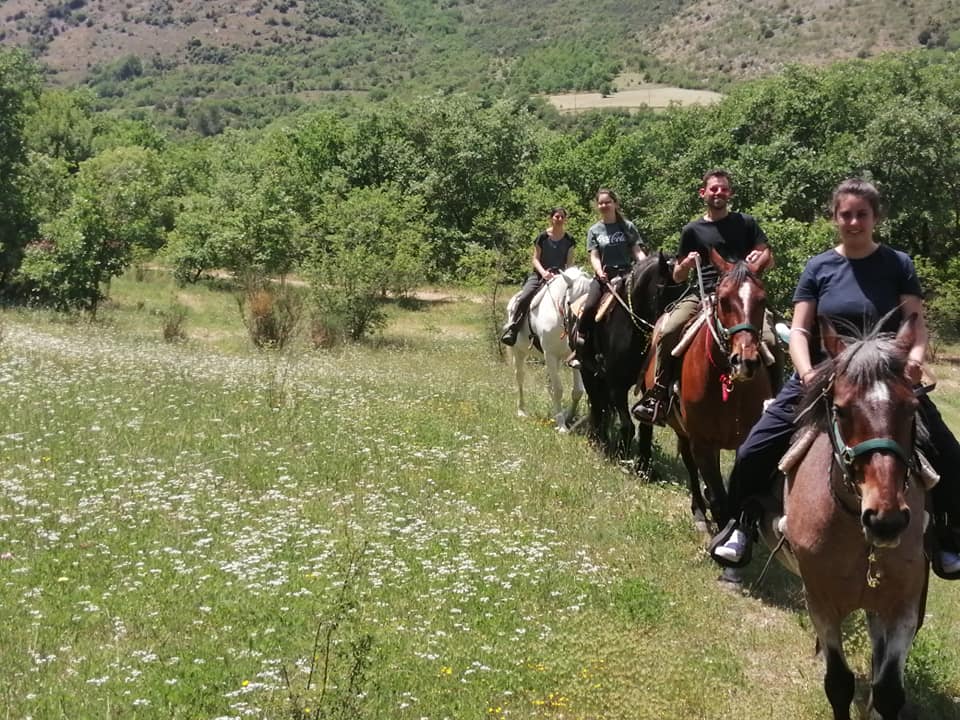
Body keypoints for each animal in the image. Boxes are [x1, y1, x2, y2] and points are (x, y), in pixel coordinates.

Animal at [507, 267, 592, 432]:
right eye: (570, 303)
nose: (580, 335)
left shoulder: (575, 358)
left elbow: (577, 391)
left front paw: (568, 416)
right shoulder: (550, 355)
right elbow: (558, 390)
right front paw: (562, 426)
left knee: (548, 383)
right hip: (519, 352)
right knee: (520, 377)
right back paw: (521, 411)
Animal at [581, 252, 675, 466]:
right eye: (662, 289)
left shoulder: (648, 387)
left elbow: (646, 427)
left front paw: (644, 465)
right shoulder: (616, 385)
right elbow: (627, 424)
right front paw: (619, 456)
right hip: (586, 372)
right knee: (597, 407)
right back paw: (598, 440)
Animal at [645, 248, 772, 531]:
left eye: (762, 300)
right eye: (723, 300)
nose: (744, 360)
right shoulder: (701, 441)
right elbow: (719, 498)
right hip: (684, 432)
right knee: (691, 466)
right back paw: (700, 514)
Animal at [758, 315, 930, 720]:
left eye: (911, 408)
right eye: (841, 409)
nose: (885, 520)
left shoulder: (903, 607)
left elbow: (888, 692)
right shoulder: (821, 603)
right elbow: (838, 684)